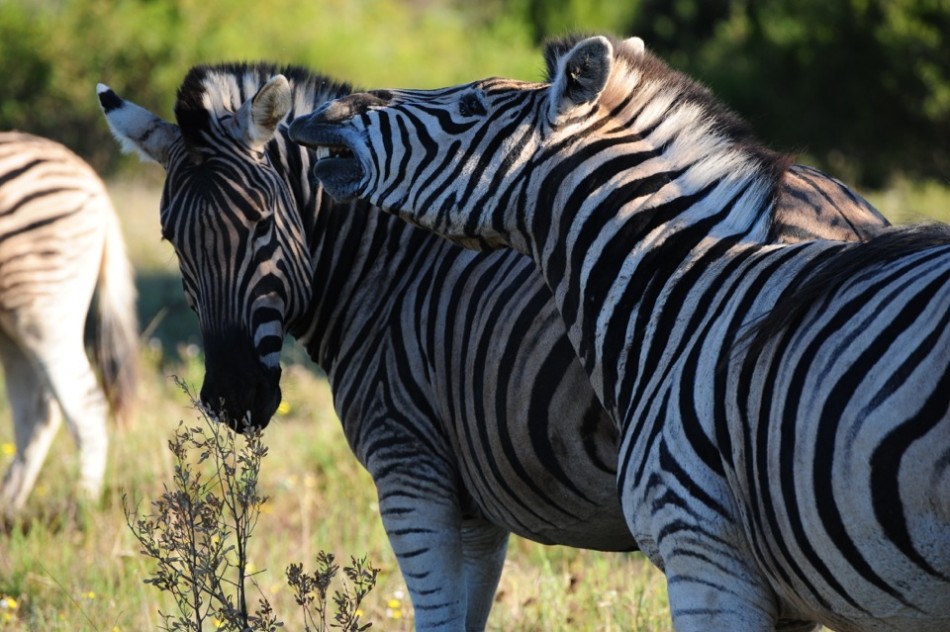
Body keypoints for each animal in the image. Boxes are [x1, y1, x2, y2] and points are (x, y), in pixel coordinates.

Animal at [0, 131, 138, 520]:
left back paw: (82, 511)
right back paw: (8, 511)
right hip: (15, 322)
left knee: (84, 408)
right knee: (37, 412)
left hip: (41, 309)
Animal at [100, 61, 889, 631]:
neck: (382, 270)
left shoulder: (409, 470)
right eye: (171, 239)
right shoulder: (476, 506)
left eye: (264, 224)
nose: (234, 398)